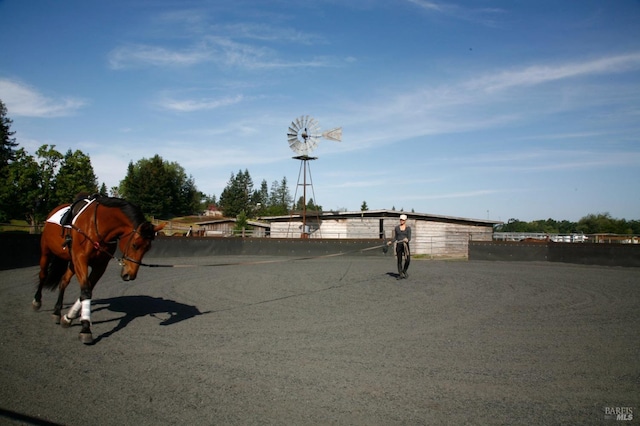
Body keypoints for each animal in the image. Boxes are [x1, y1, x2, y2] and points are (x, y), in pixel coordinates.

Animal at [31, 195, 165, 344]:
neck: (99, 226)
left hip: (72, 261)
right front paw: (85, 328)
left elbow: (87, 289)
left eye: (148, 248)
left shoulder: (100, 265)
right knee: (43, 275)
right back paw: (37, 301)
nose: (130, 275)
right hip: (46, 251)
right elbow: (86, 291)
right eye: (135, 245)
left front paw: (69, 317)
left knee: (64, 281)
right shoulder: (81, 259)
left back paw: (57, 311)